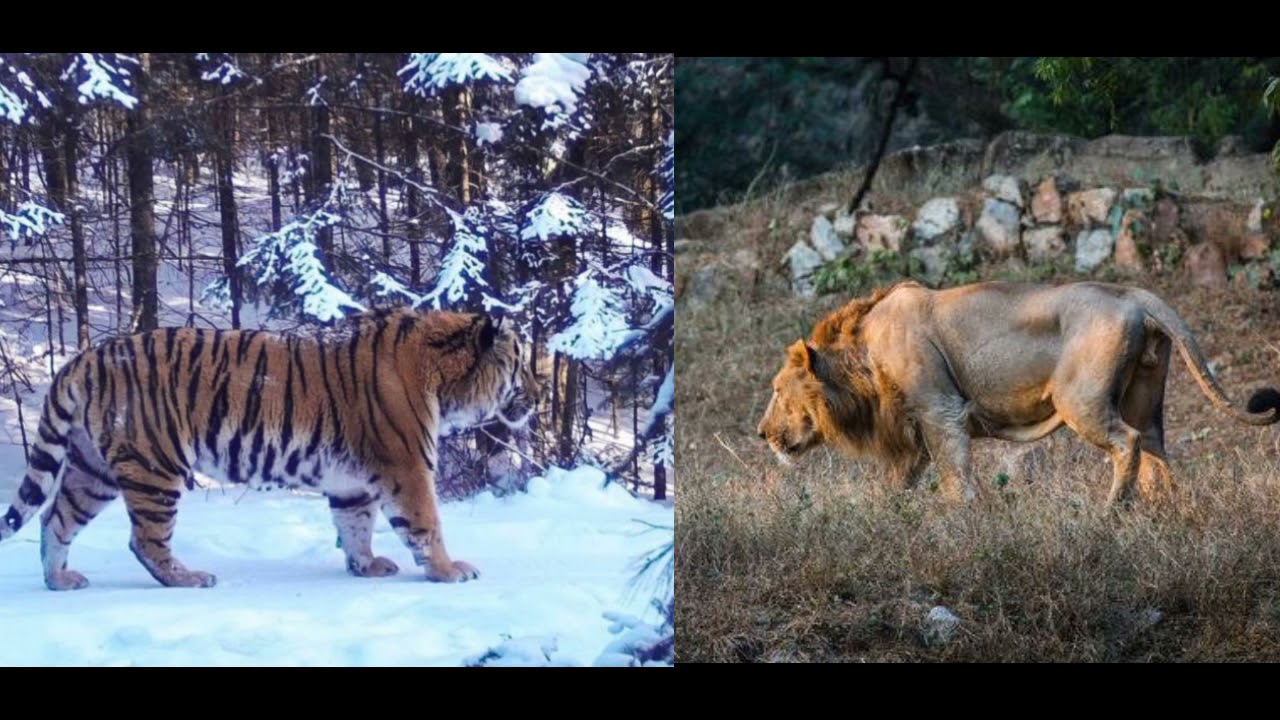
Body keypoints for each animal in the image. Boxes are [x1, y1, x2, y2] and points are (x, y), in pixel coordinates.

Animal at [0, 308, 538, 591]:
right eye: (522, 365)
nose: (537, 396)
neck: (445, 380)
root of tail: (85, 357)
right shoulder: (407, 467)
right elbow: (427, 525)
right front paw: (450, 570)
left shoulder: (352, 481)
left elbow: (355, 526)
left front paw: (366, 566)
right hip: (155, 467)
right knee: (146, 540)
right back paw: (189, 578)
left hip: (91, 470)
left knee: (55, 519)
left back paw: (59, 580)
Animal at [757, 281, 1280, 503]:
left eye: (778, 389)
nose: (761, 433)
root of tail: (1133, 293)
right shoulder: (914, 431)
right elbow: (897, 485)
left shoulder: (940, 410)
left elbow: (955, 479)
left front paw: (961, 521)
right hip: (1145, 400)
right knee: (1156, 454)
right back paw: (1163, 509)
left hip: (1080, 399)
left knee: (1126, 443)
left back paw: (1111, 511)